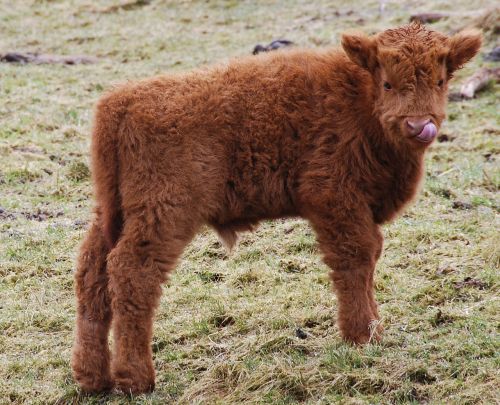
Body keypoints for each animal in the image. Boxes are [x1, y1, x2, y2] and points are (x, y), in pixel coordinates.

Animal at [71, 22, 480, 392]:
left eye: (440, 81)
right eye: (388, 84)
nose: (418, 124)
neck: (357, 95)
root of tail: (121, 100)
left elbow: (370, 256)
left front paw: (371, 329)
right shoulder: (335, 199)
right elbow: (356, 258)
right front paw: (363, 335)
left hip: (113, 214)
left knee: (92, 273)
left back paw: (92, 378)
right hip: (164, 214)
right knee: (132, 274)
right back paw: (136, 379)